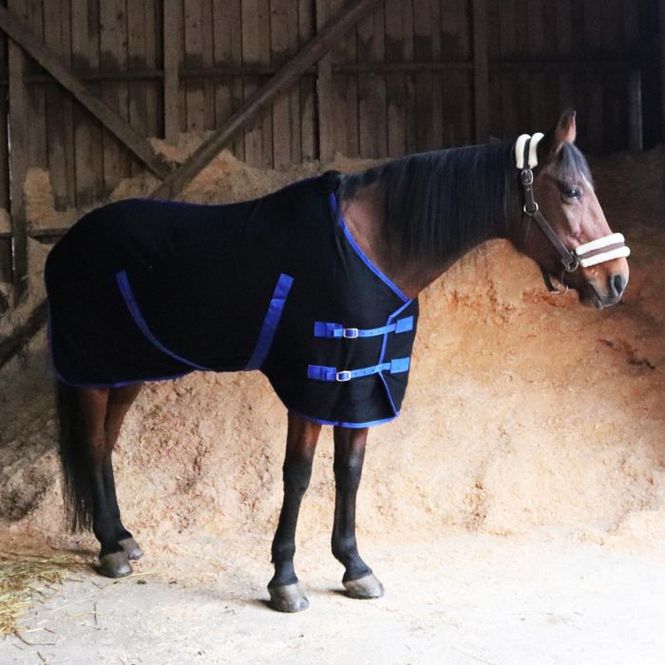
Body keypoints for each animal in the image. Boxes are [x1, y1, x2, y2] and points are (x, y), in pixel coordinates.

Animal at [45, 110, 630, 613]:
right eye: (571, 191)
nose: (616, 281)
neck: (372, 244)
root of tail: (65, 245)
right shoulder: (317, 382)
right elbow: (299, 476)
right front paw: (285, 580)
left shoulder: (363, 383)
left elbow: (349, 472)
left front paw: (355, 567)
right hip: (93, 371)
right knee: (94, 443)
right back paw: (110, 548)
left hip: (128, 372)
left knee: (105, 445)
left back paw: (122, 537)